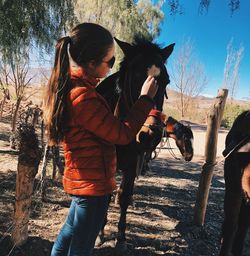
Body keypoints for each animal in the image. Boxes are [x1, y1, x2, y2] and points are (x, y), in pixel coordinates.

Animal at [94, 37, 175, 249]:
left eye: (166, 81)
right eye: (135, 77)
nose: (150, 135)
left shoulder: (131, 165)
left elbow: (124, 196)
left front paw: (121, 237)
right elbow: (105, 196)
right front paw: (100, 233)